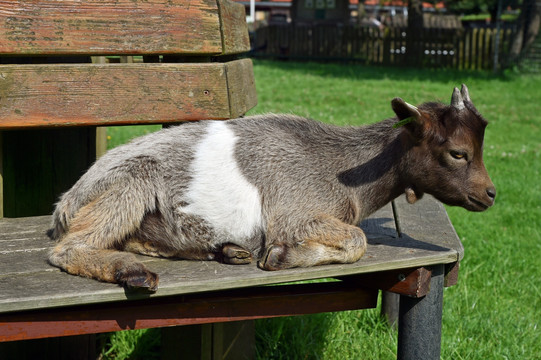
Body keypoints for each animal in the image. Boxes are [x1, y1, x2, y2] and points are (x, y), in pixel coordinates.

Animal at [47, 86, 494, 292]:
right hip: (129, 184)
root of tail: (66, 202)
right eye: (458, 153)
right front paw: (281, 257)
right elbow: (357, 239)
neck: (339, 168)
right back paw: (132, 273)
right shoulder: (292, 215)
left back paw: (224, 250)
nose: (490, 194)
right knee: (66, 250)